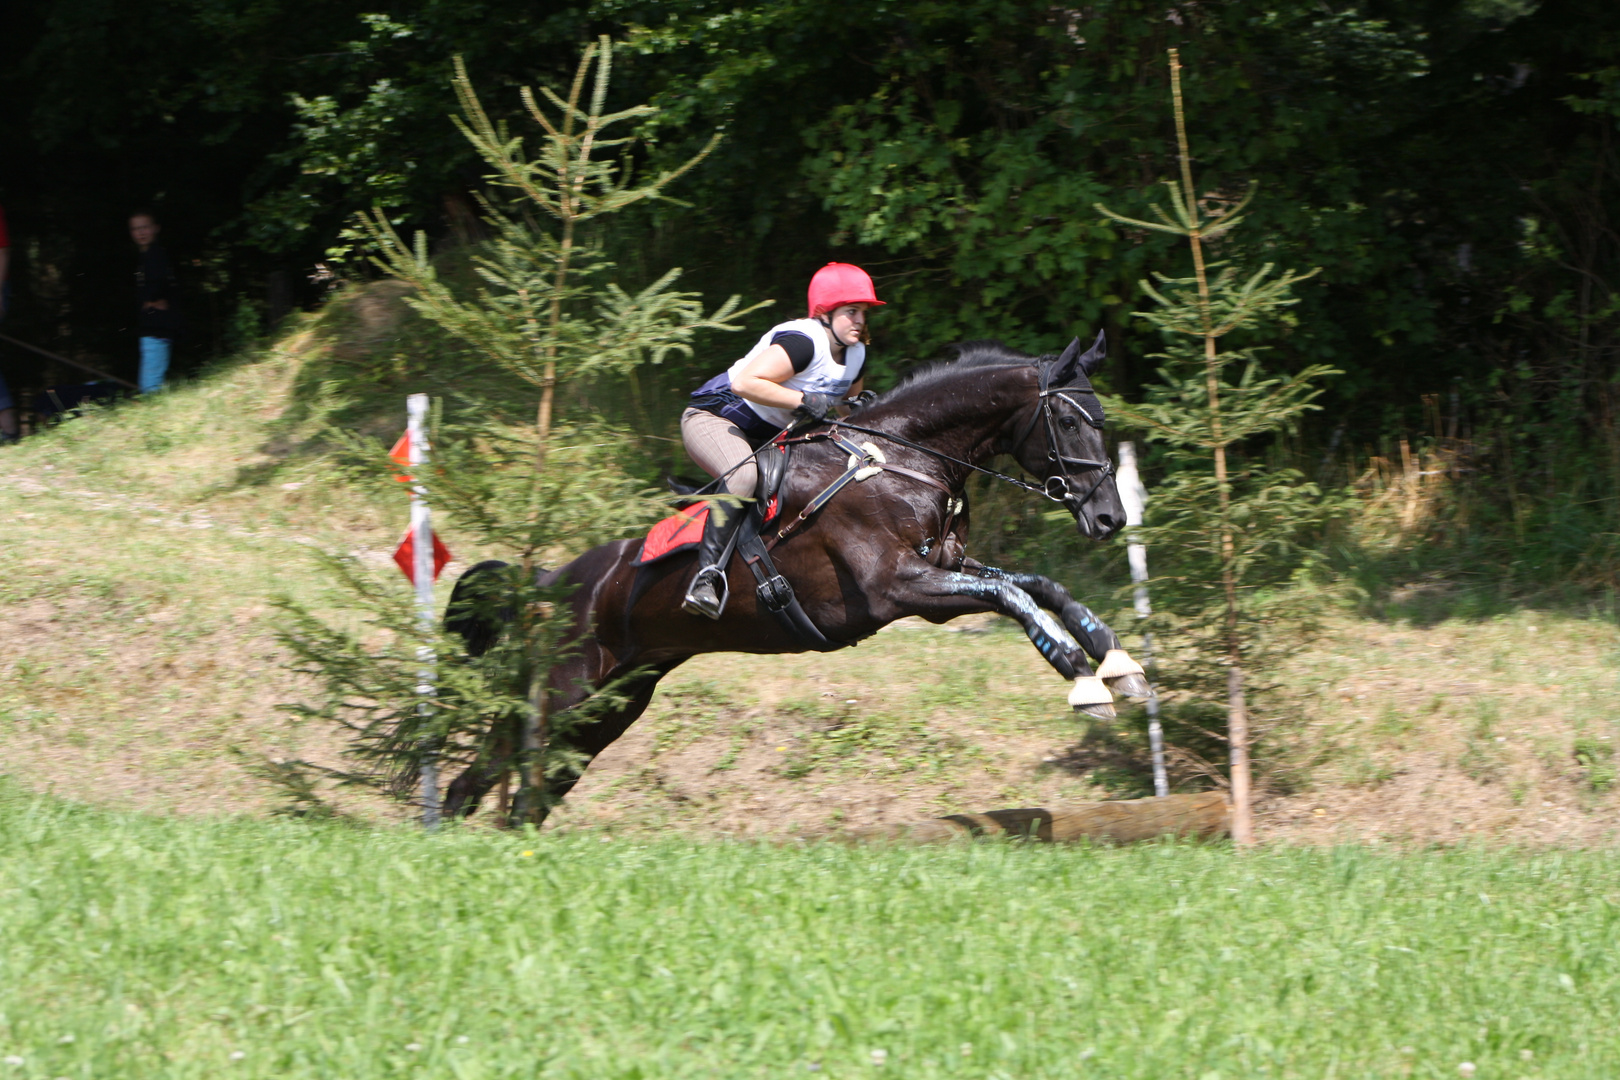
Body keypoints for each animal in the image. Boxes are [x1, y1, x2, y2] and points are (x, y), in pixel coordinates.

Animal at [443, 330, 1146, 819]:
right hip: (566, 692)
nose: (1110, 518)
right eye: (1070, 421)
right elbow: (1009, 595)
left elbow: (1038, 586)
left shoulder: (946, 567)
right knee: (489, 770)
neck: (897, 458)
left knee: (523, 795)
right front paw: (1082, 680)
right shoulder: (901, 588)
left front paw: (1118, 664)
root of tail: (548, 584)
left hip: (611, 706)